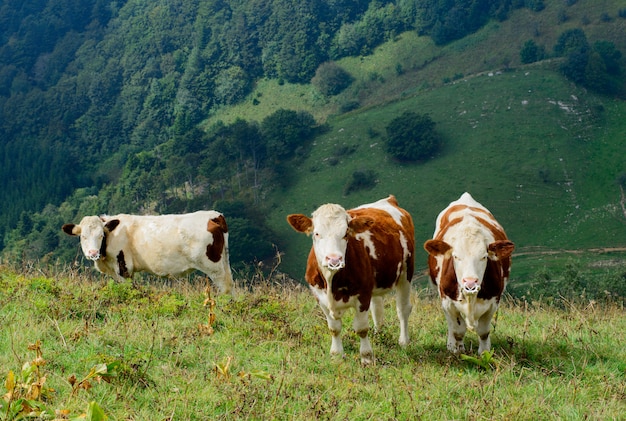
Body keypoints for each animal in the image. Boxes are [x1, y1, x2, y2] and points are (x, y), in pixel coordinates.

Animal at [62, 209, 233, 294]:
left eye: (101, 235)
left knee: (224, 286)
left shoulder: (123, 268)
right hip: (224, 261)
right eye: (83, 236)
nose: (93, 253)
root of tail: (214, 216)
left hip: (213, 265)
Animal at [288, 195, 414, 362]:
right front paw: (336, 355)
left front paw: (366, 357)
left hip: (406, 273)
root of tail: (388, 199)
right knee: (377, 308)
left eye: (345, 233)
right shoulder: (319, 297)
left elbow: (361, 328)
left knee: (403, 309)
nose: (334, 259)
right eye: (316, 234)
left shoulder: (363, 294)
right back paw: (378, 335)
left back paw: (404, 342)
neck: (331, 281)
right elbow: (334, 328)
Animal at [422, 193, 516, 354]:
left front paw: (484, 352)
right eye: (456, 256)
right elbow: (458, 330)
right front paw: (458, 350)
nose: (470, 282)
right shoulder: (447, 301)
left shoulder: (493, 302)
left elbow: (484, 331)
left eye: (484, 256)